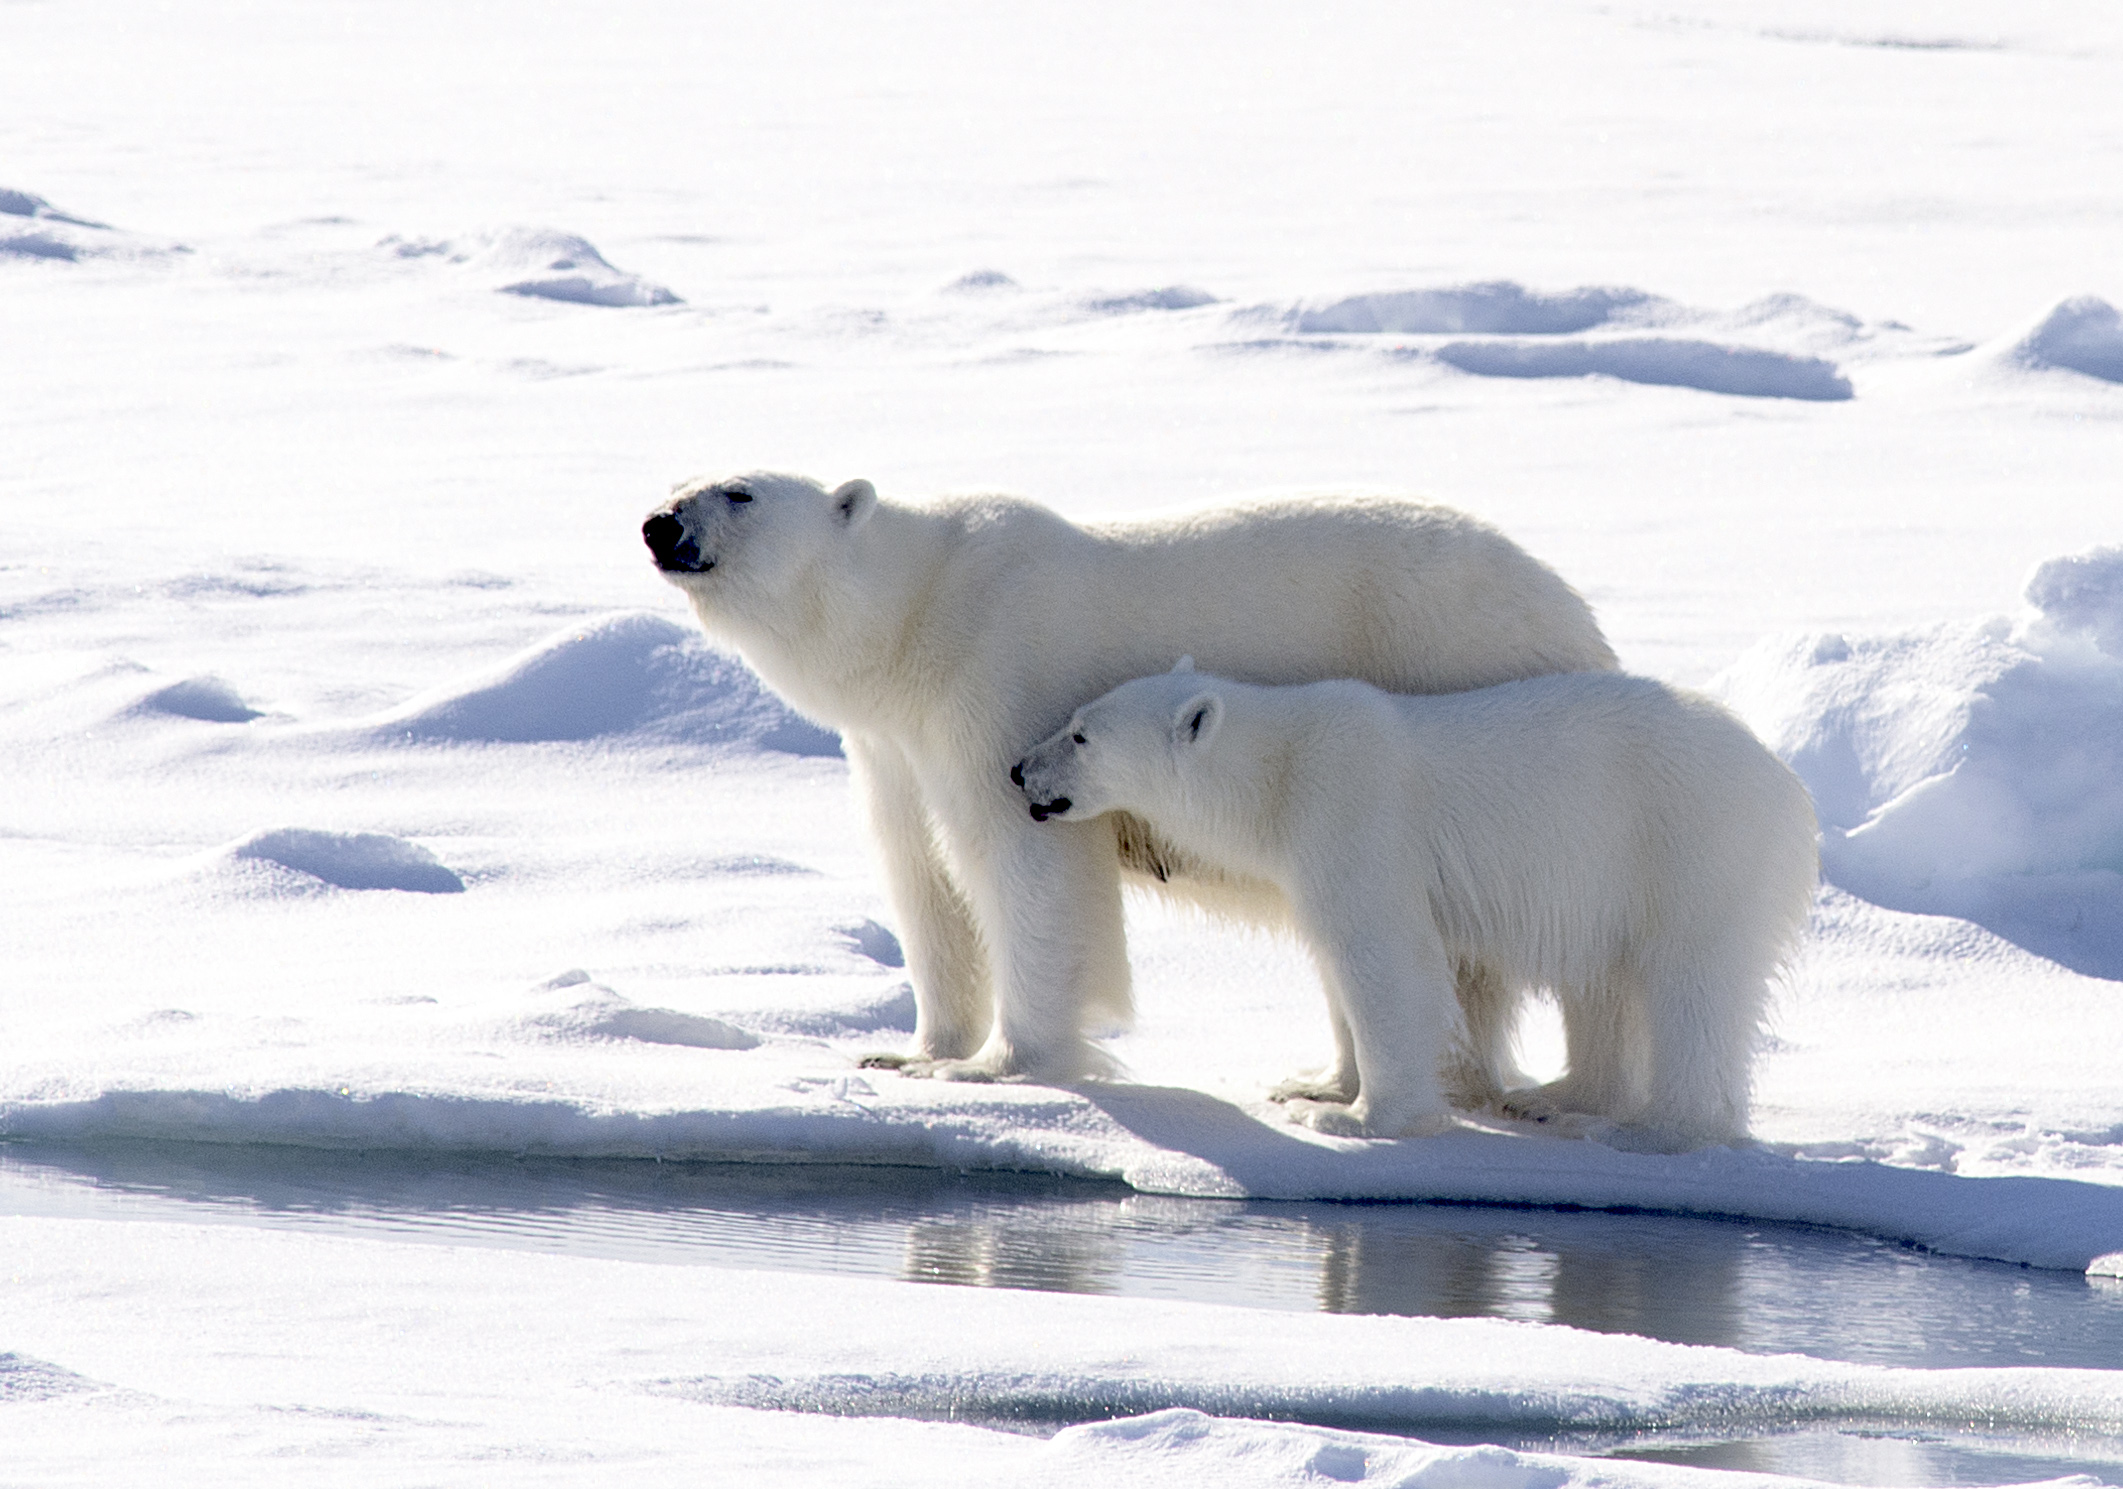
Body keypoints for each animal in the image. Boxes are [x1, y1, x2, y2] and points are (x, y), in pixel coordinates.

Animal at [636, 473, 1613, 1079]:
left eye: (740, 491)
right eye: (688, 478)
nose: (658, 524)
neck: (918, 614)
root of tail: (1577, 617)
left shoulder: (1000, 673)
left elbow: (1028, 862)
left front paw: (1007, 1061)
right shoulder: (892, 742)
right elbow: (922, 876)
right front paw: (915, 1051)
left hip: (1459, 679)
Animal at [1019, 666, 1817, 1147]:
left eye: (1081, 733)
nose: (1019, 768)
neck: (1279, 773)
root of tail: (1789, 788)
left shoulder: (1354, 813)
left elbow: (1384, 959)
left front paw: (1353, 1117)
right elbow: (1334, 963)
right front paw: (1313, 1081)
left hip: (1688, 849)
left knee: (1690, 985)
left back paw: (1649, 1129)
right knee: (1607, 983)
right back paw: (1557, 1097)